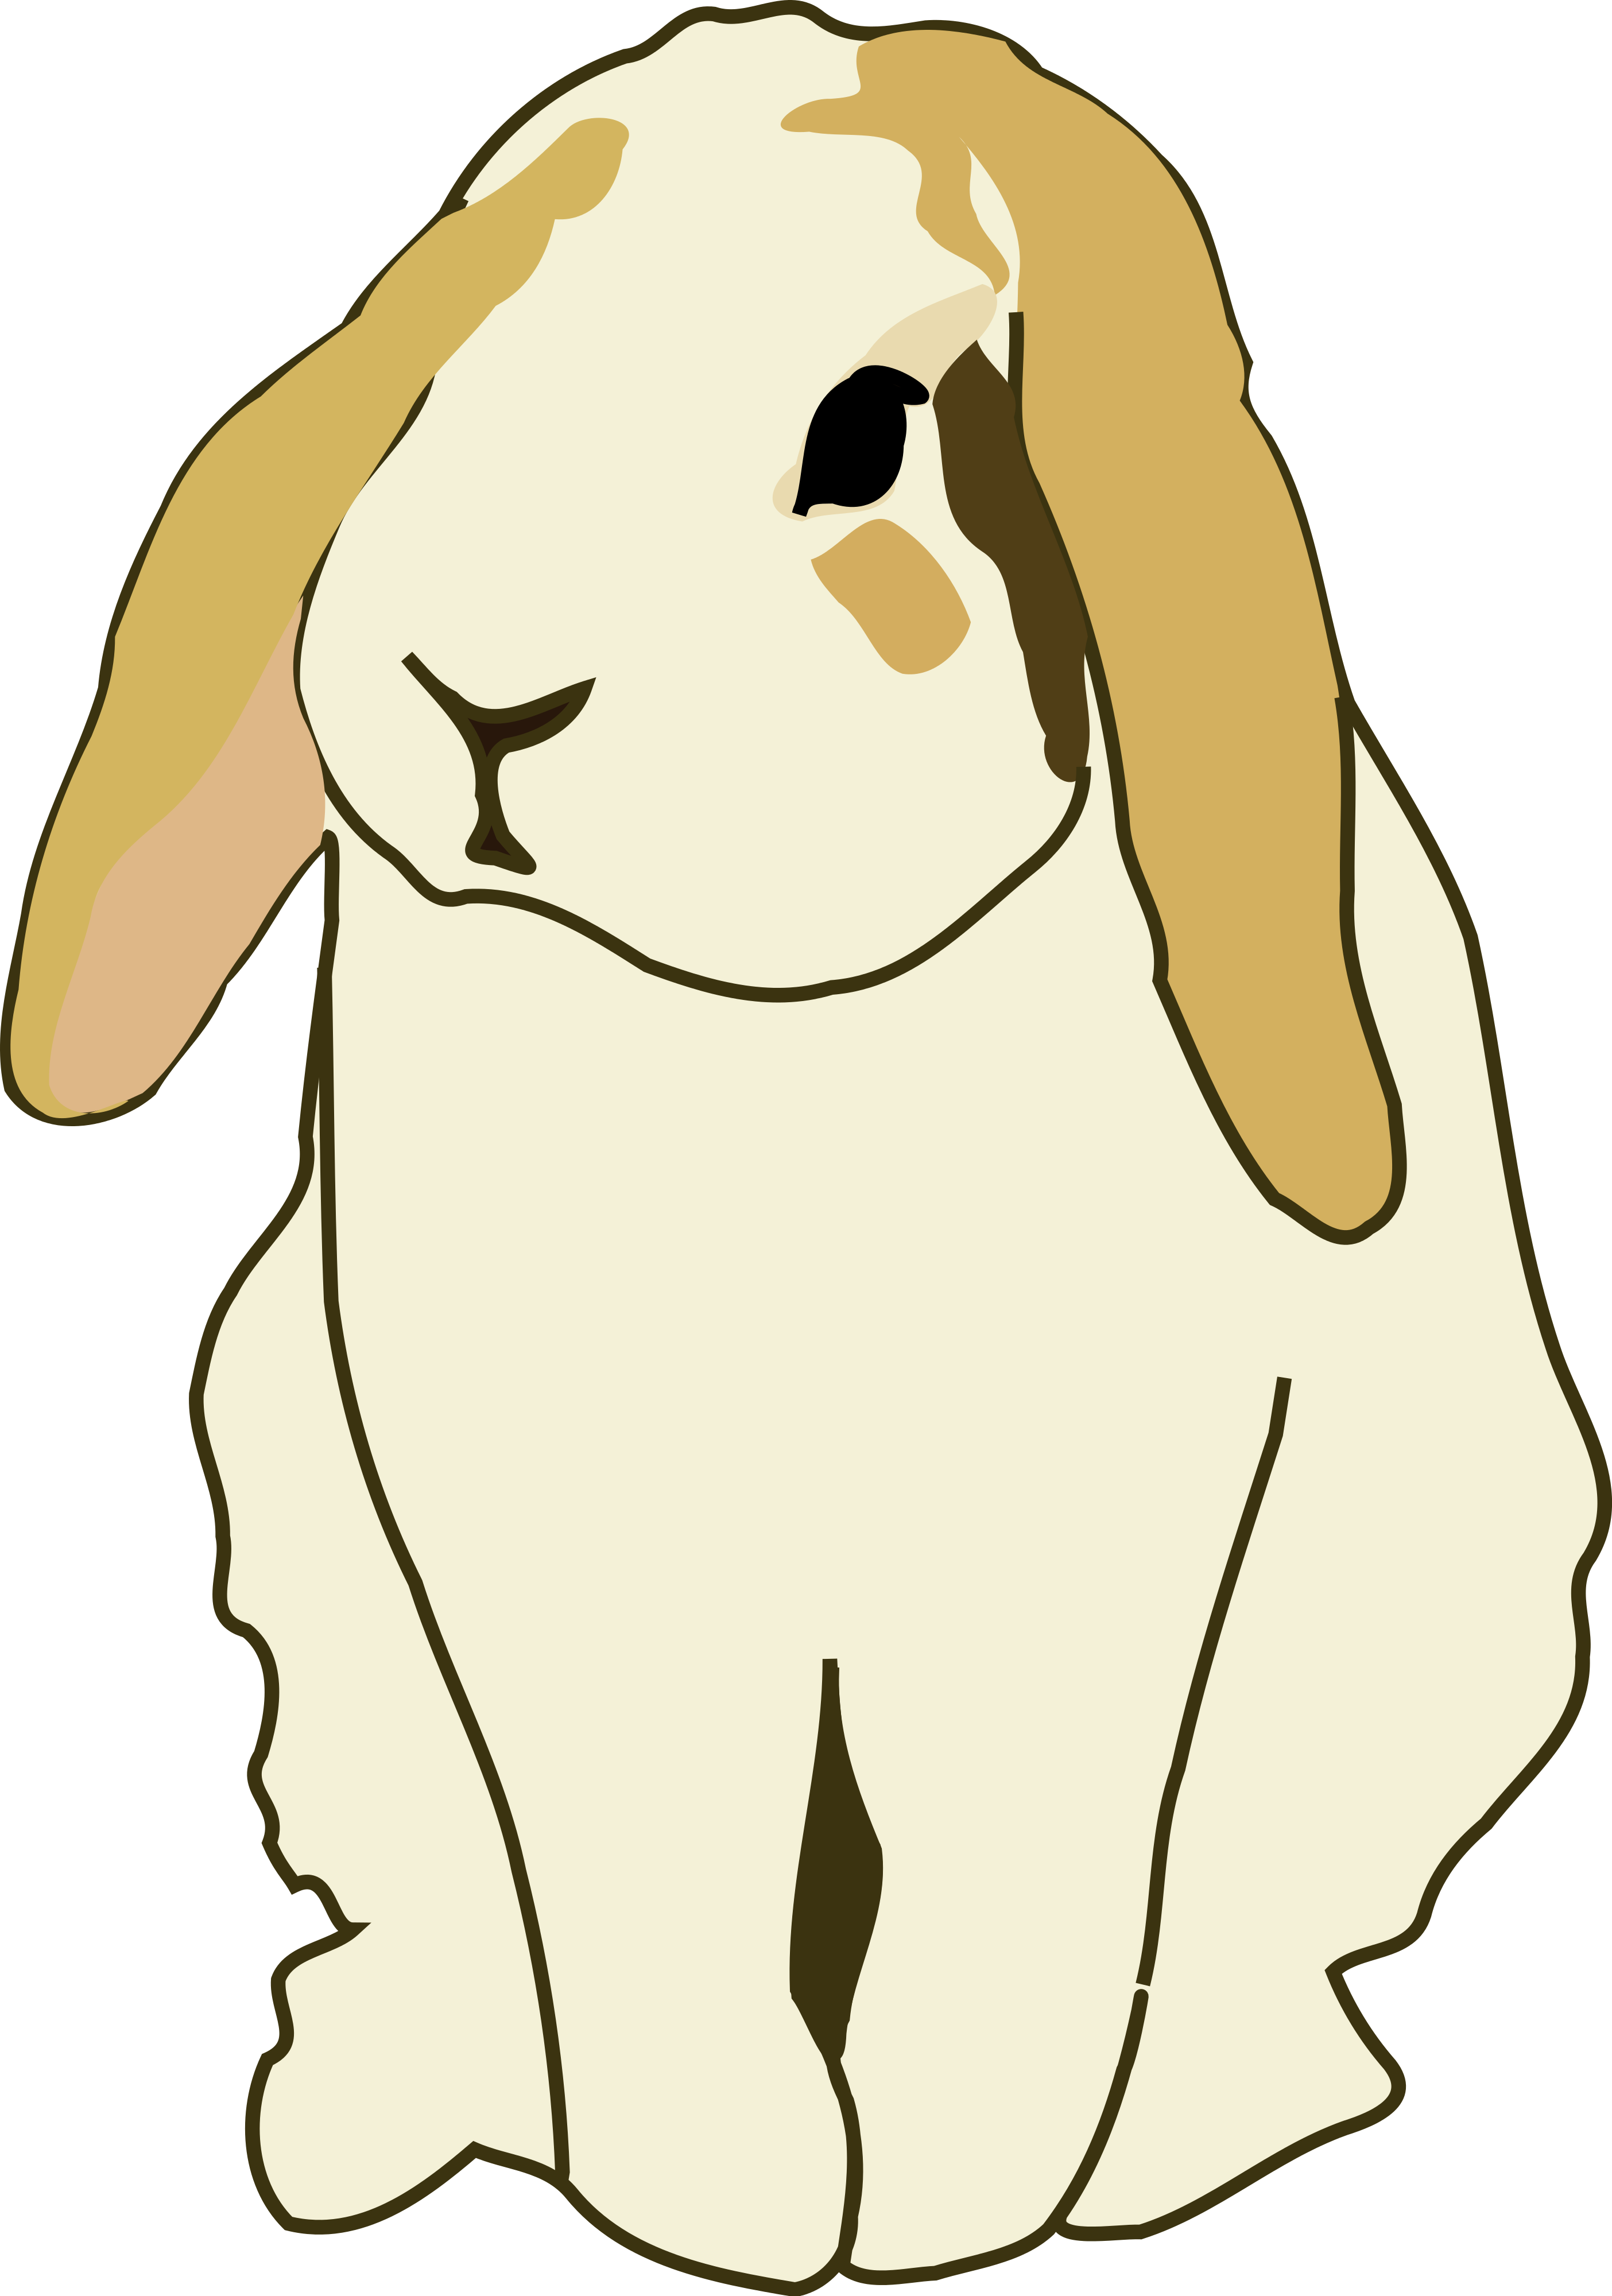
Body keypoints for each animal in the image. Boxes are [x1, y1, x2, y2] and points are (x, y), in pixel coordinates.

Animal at [5, 10, 1601, 2286]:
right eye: (458, 366)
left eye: (870, 435)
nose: (485, 703)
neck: (766, 1035)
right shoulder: (537, 1527)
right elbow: (635, 1875)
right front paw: (728, 2216)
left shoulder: (1075, 1539)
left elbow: (1007, 1891)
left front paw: (938, 2216)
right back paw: (358, 2119)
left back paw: (1183, 2138)